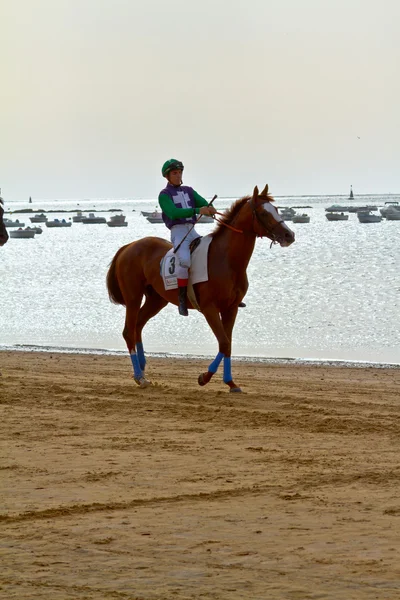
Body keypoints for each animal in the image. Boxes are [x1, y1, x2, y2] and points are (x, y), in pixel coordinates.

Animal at [106, 185, 294, 392]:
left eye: (276, 209)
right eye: (263, 213)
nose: (289, 235)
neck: (226, 260)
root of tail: (128, 246)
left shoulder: (231, 308)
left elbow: (228, 344)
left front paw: (230, 382)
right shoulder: (209, 308)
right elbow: (223, 343)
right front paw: (205, 377)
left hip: (157, 300)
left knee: (138, 325)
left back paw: (142, 366)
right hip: (133, 297)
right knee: (128, 331)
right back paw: (140, 376)